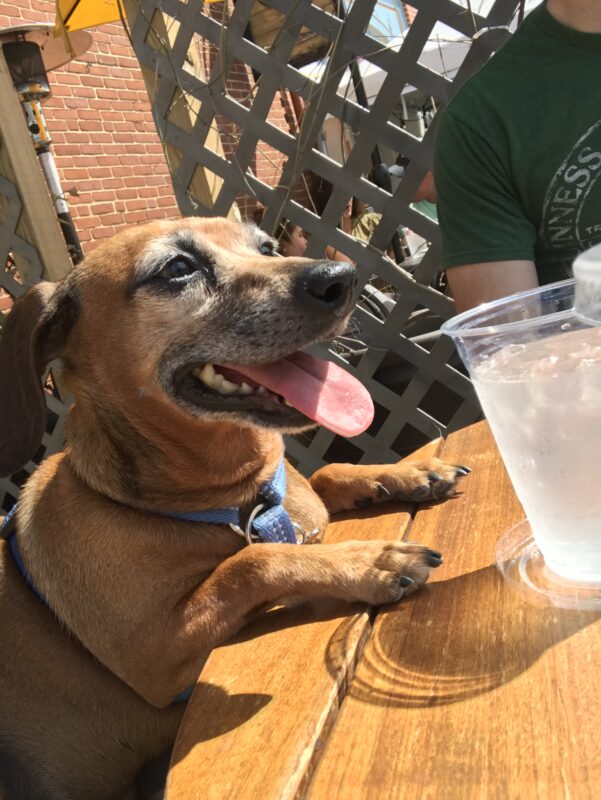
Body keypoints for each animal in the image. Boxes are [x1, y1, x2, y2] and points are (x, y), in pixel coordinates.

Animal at [0, 219, 468, 800]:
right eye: (177, 268)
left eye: (267, 247)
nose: (342, 277)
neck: (236, 497)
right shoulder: (156, 657)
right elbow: (252, 561)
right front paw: (369, 560)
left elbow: (325, 475)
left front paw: (406, 472)